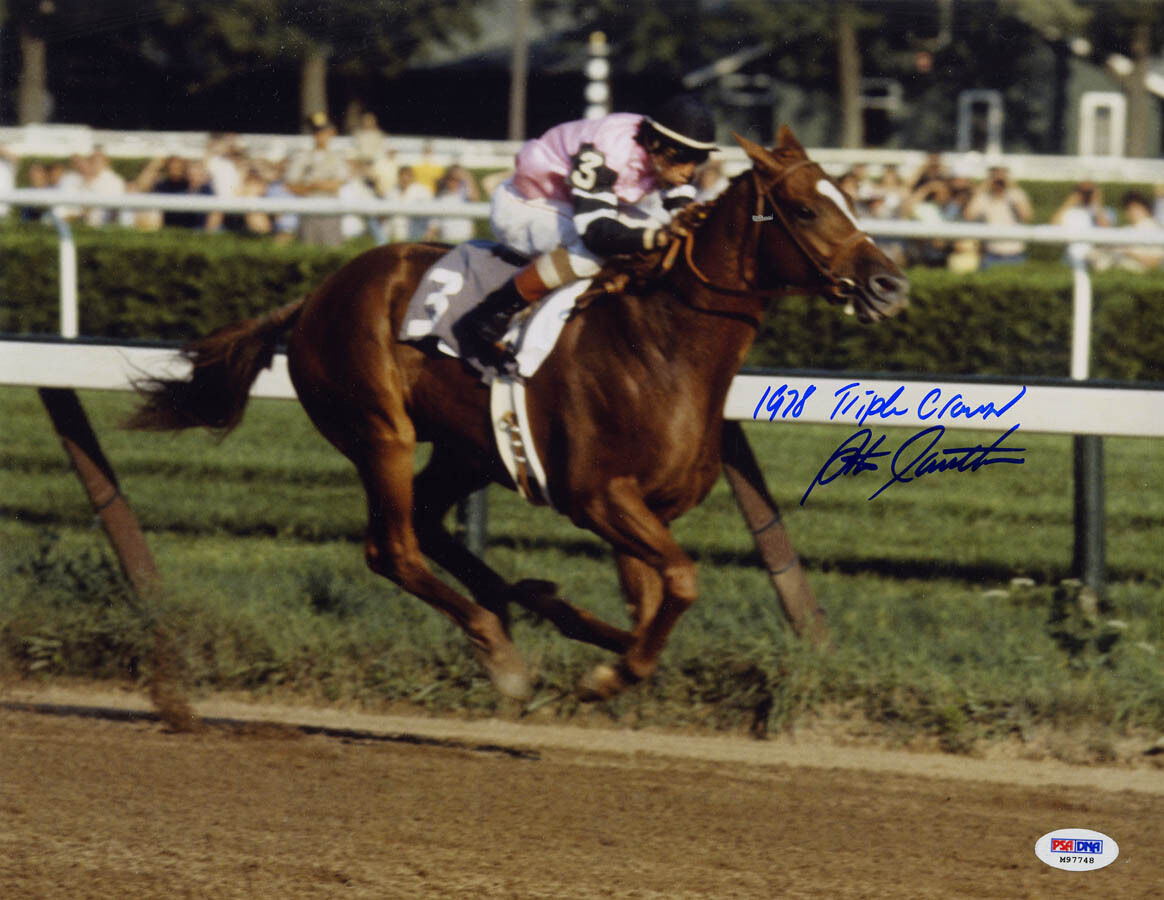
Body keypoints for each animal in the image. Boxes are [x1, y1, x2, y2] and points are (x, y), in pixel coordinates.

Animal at [129, 128, 907, 703]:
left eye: (851, 199)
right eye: (805, 210)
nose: (889, 284)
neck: (661, 347)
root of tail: (318, 294)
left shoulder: (642, 510)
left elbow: (652, 600)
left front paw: (614, 655)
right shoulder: (597, 497)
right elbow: (683, 582)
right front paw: (611, 675)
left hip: (463, 449)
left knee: (433, 527)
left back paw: (544, 607)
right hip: (381, 432)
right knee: (394, 548)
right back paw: (500, 650)